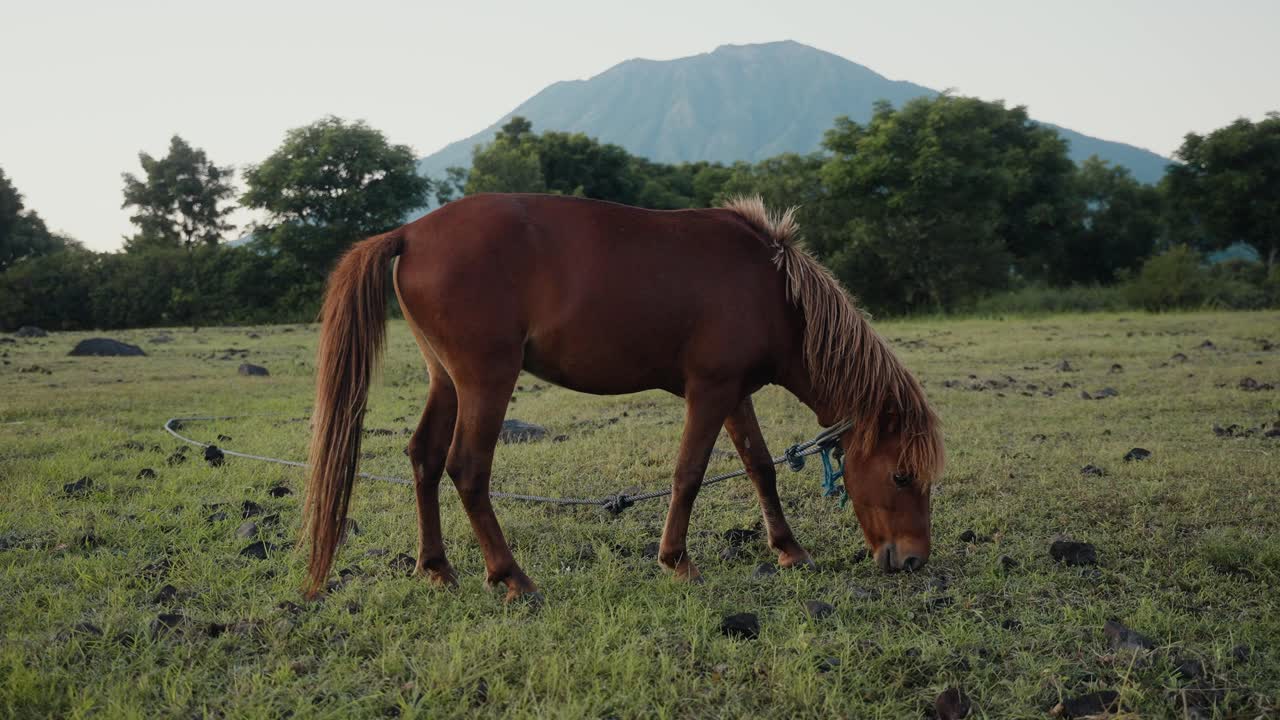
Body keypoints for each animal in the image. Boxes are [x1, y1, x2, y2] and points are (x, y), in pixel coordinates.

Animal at [301, 193, 943, 601]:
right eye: (902, 476)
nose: (915, 560)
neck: (773, 289)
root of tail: (411, 232)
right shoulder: (710, 392)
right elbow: (689, 472)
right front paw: (677, 560)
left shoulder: (734, 393)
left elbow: (760, 466)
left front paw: (789, 550)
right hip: (486, 380)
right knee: (467, 470)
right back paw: (512, 578)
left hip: (447, 381)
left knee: (425, 459)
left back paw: (437, 567)